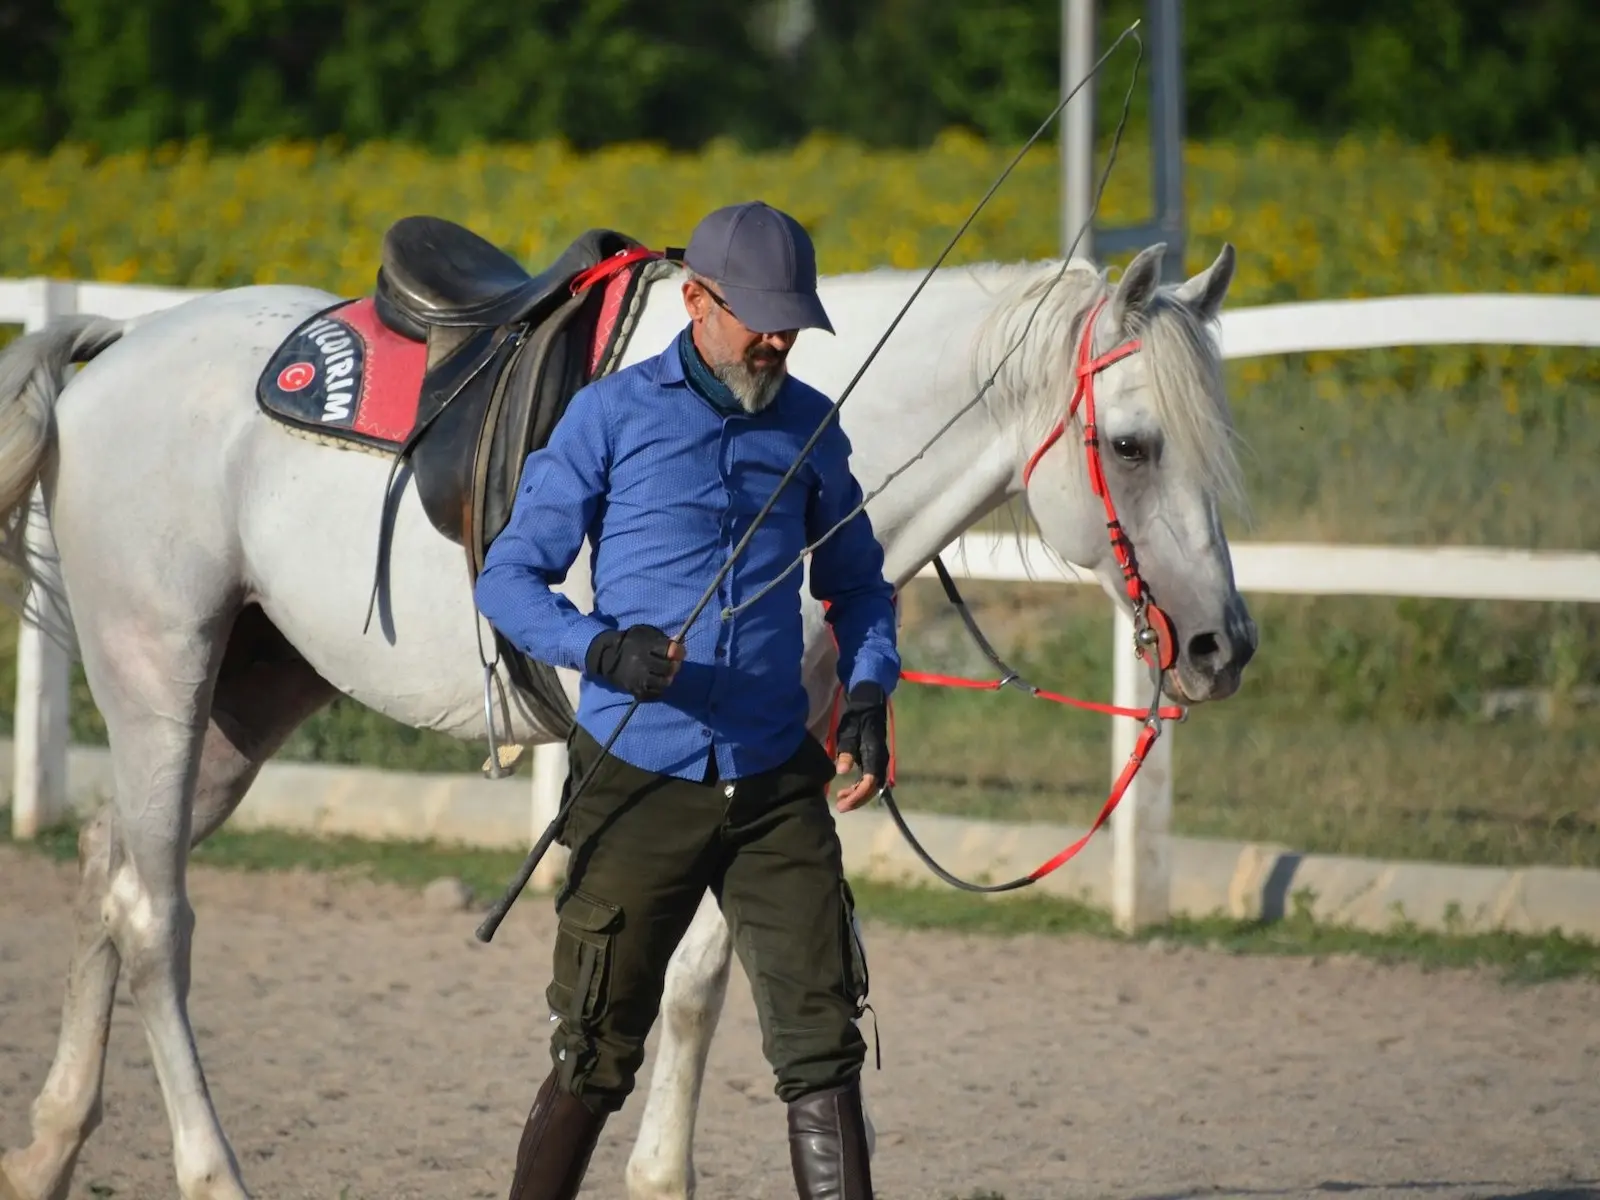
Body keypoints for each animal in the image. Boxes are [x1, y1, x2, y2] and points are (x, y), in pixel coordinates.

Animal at [0, 236, 1248, 1200]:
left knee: (111, 864)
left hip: (246, 695)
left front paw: (661, 1175)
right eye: (1132, 444)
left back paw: (51, 1148)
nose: (1220, 647)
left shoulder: (765, 772)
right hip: (158, 669)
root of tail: (114, 353)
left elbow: (705, 983)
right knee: (154, 915)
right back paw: (210, 1172)